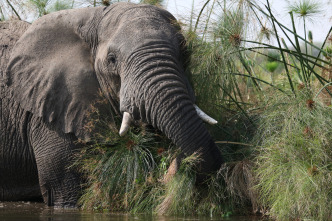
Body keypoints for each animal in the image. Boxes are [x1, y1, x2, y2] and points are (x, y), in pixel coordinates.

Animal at [0, 2, 223, 207]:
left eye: (185, 51)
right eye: (112, 59)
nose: (176, 163)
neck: (93, 17)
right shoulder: (49, 110)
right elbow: (66, 191)